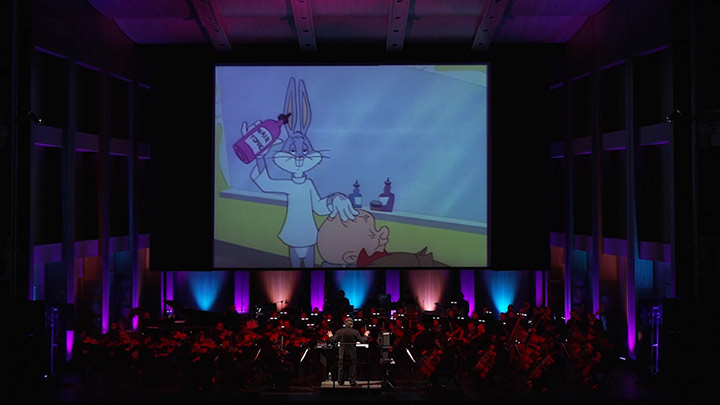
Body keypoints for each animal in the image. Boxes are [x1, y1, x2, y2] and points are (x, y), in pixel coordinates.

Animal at [246, 77, 358, 268]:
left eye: (305, 149)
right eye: (292, 149)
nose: (299, 157)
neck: (298, 181)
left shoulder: (310, 186)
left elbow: (319, 206)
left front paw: (339, 200)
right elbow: (265, 183)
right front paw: (259, 148)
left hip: (309, 246)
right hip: (294, 247)